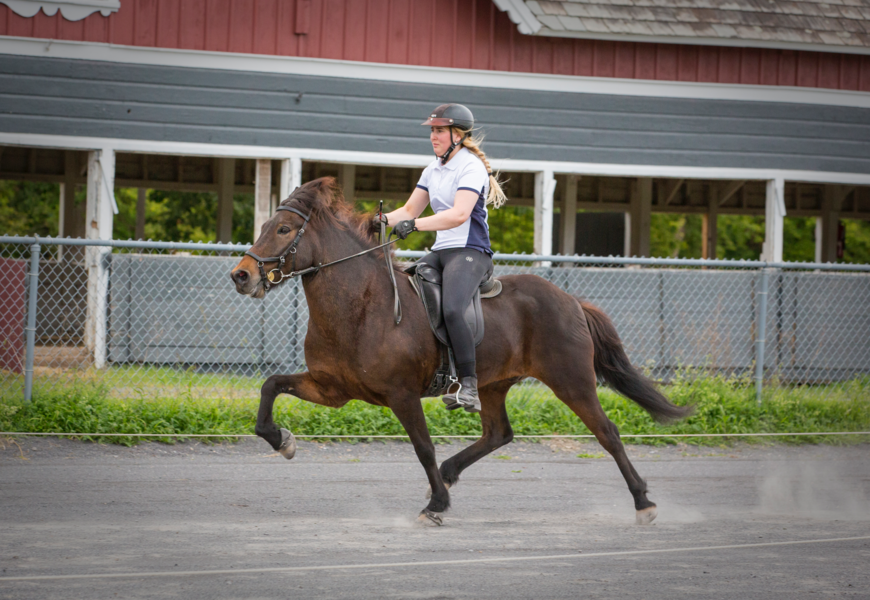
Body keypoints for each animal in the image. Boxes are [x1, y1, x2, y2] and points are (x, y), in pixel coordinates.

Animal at [230, 177, 691, 526]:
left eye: (284, 230)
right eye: (268, 225)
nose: (241, 275)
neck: (360, 305)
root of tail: (570, 300)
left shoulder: (401, 395)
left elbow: (423, 447)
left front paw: (436, 505)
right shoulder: (332, 389)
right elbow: (270, 386)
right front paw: (282, 440)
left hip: (571, 381)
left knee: (607, 433)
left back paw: (644, 503)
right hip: (493, 384)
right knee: (499, 434)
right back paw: (451, 473)